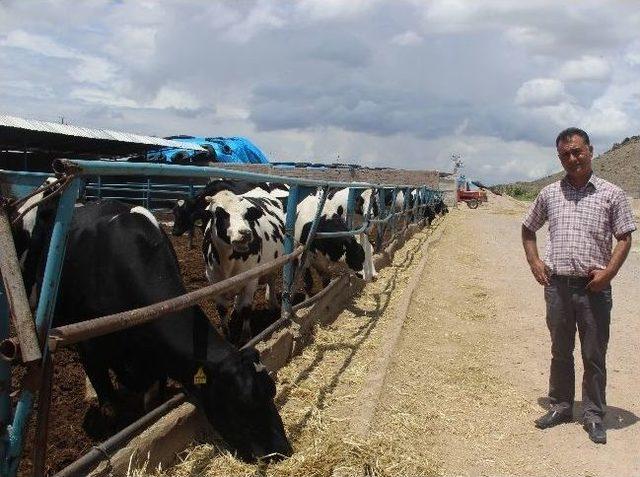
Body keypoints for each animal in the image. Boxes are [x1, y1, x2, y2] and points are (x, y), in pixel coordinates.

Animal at [12, 197, 292, 462]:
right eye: (241, 403)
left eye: (272, 390)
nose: (282, 450)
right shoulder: (91, 350)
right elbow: (109, 406)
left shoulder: (155, 363)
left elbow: (150, 403)